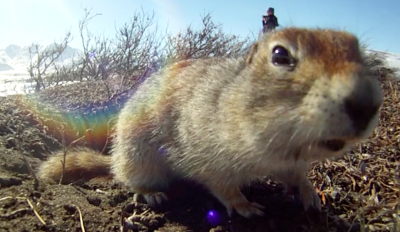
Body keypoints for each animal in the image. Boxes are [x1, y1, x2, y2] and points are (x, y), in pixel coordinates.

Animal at [39, 28, 382, 218]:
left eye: (355, 47)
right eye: (280, 55)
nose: (367, 104)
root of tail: (116, 158)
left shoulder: (290, 160)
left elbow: (298, 175)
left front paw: (311, 195)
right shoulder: (206, 150)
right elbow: (220, 184)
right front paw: (244, 206)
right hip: (139, 158)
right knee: (129, 178)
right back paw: (151, 193)